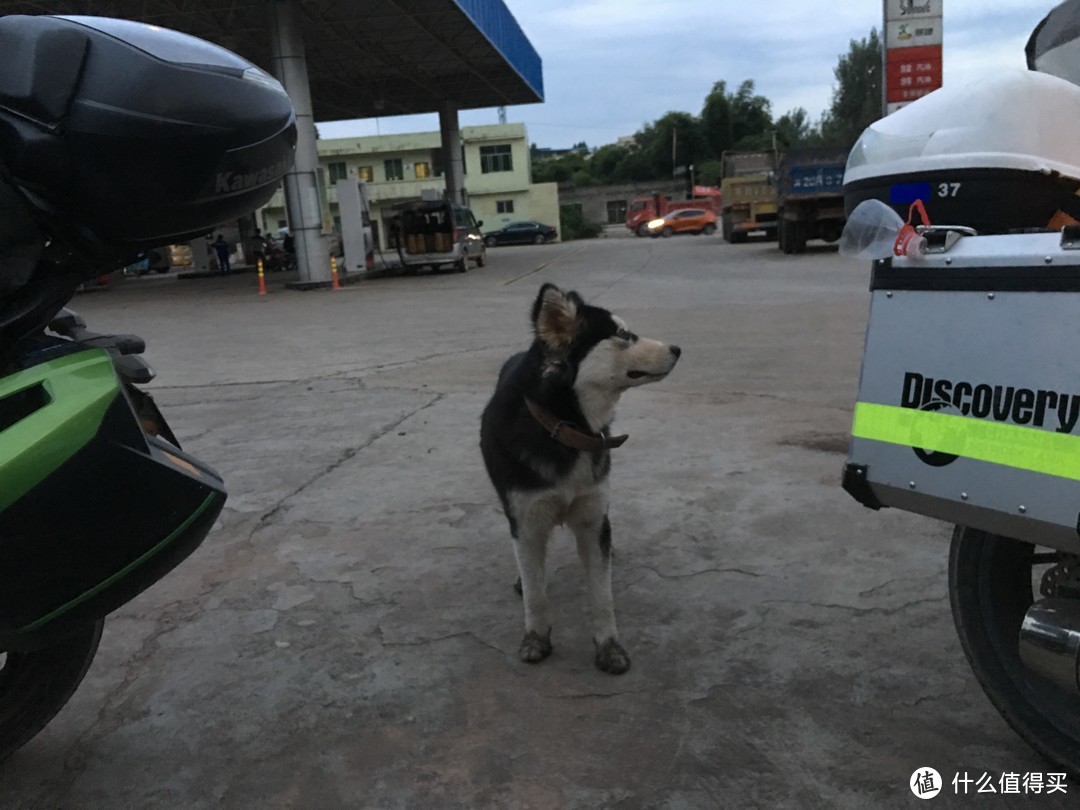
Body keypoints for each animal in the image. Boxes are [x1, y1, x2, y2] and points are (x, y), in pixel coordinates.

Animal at [479, 282, 678, 673]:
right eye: (622, 335)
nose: (677, 349)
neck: (564, 427)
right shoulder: (526, 519)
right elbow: (536, 593)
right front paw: (536, 639)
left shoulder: (592, 515)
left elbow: (602, 595)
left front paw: (609, 647)